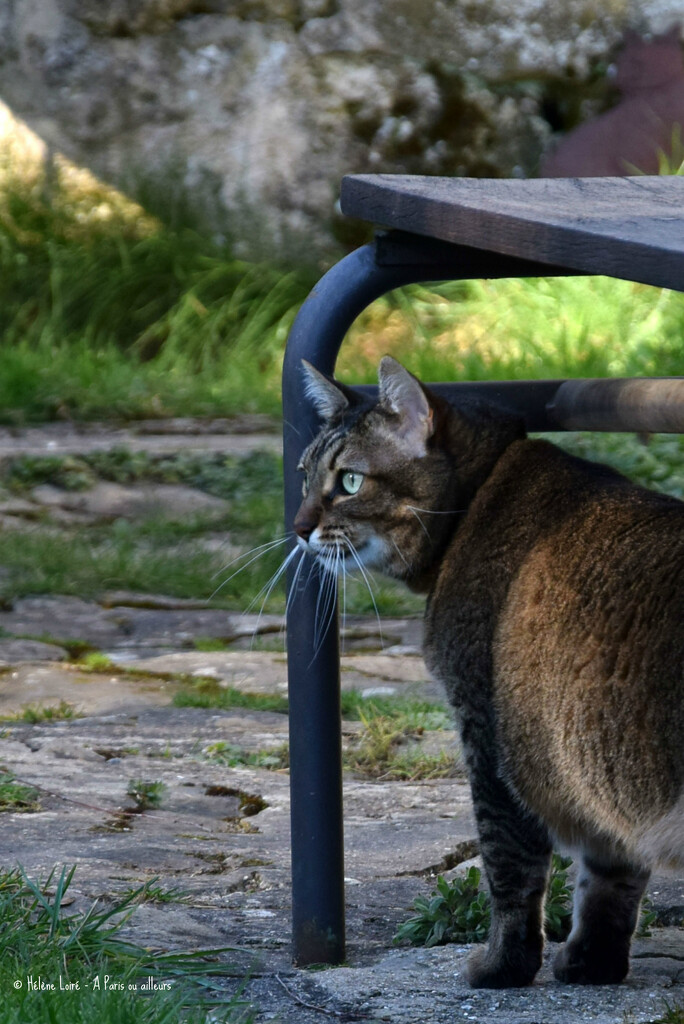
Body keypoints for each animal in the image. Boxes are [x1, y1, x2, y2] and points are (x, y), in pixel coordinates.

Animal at [294, 356, 684, 987]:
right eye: (304, 476)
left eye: (349, 481)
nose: (298, 526)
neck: (478, 497)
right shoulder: (596, 759)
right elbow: (610, 874)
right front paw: (592, 962)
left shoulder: (489, 734)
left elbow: (509, 868)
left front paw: (504, 965)